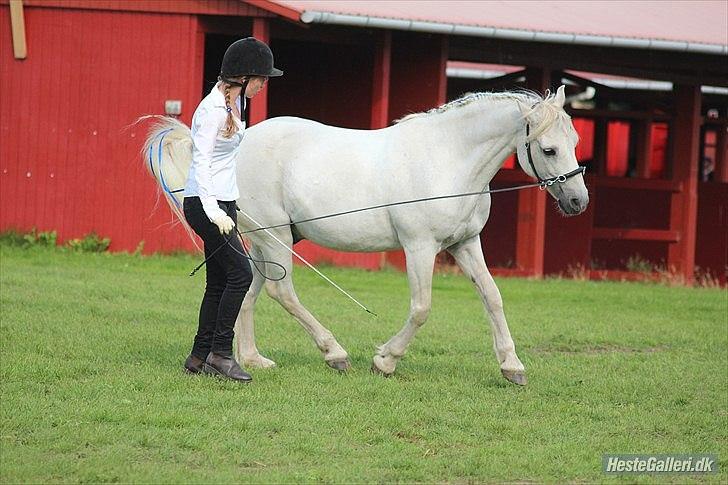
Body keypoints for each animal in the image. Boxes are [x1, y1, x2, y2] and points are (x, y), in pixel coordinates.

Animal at [145, 85, 588, 384]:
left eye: (575, 140)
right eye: (548, 149)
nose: (578, 201)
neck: (446, 160)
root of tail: (236, 145)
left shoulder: (465, 245)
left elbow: (492, 297)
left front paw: (512, 366)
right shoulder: (419, 247)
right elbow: (422, 308)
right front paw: (385, 360)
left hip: (265, 242)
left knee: (250, 292)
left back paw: (252, 359)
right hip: (277, 240)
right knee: (280, 292)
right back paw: (333, 353)